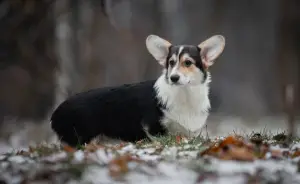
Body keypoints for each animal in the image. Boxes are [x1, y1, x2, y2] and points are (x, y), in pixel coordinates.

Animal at [50, 34, 224, 147]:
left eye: (188, 63)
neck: (185, 94)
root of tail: (56, 112)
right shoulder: (155, 130)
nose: (173, 78)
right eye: (171, 62)